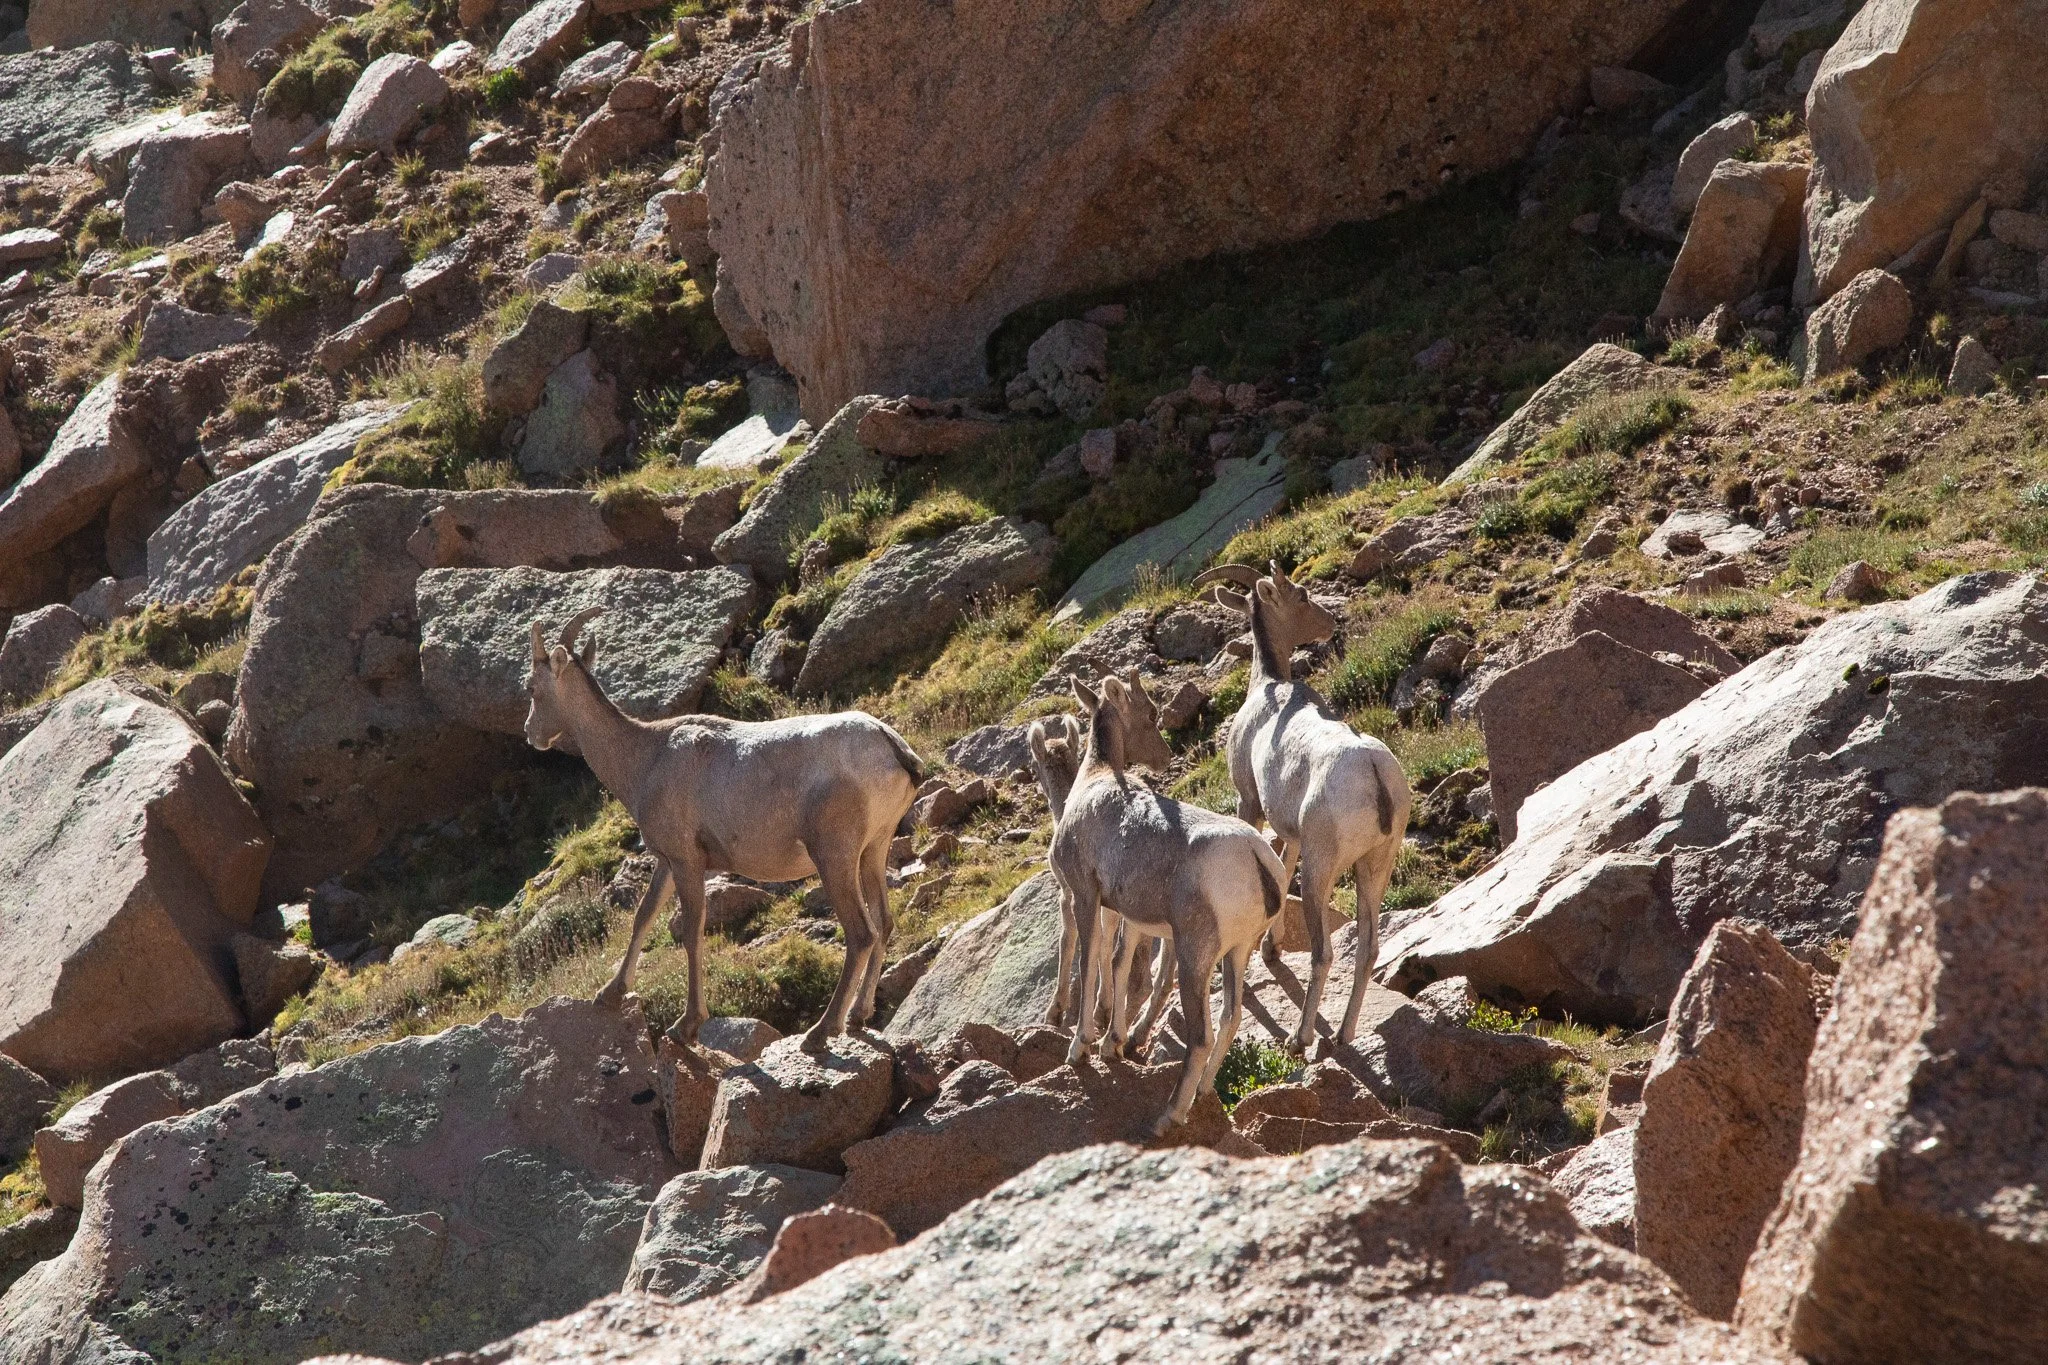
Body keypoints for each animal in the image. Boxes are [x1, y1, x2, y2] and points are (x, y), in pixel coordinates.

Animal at [524, 609, 923, 1048]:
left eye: (532, 687)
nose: (531, 733)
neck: (645, 758)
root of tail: (893, 747)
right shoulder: (669, 860)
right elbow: (644, 916)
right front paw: (609, 993)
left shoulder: (686, 860)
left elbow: (691, 932)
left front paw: (686, 1025)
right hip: (875, 848)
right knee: (884, 922)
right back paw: (857, 1016)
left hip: (834, 854)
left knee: (861, 933)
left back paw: (820, 1032)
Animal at [1051, 674, 1285, 1133]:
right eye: (1148, 715)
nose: (1164, 757)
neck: (1094, 779)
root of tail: (1256, 857)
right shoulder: (1122, 911)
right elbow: (1117, 963)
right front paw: (1112, 1044)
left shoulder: (1085, 895)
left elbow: (1089, 964)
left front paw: (1081, 1047)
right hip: (1238, 950)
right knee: (1231, 1017)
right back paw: (1203, 1092)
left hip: (1196, 954)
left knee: (1201, 1035)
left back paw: (1169, 1116)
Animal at [1191, 561, 1412, 1056]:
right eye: (1304, 596)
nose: (1332, 623)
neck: (1270, 688)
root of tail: (1374, 772)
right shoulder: (1290, 830)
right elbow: (1281, 861)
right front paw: (1270, 949)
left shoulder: (1249, 803)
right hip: (1377, 864)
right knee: (1368, 948)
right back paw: (1344, 1035)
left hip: (1322, 870)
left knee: (1323, 952)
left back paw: (1300, 1038)